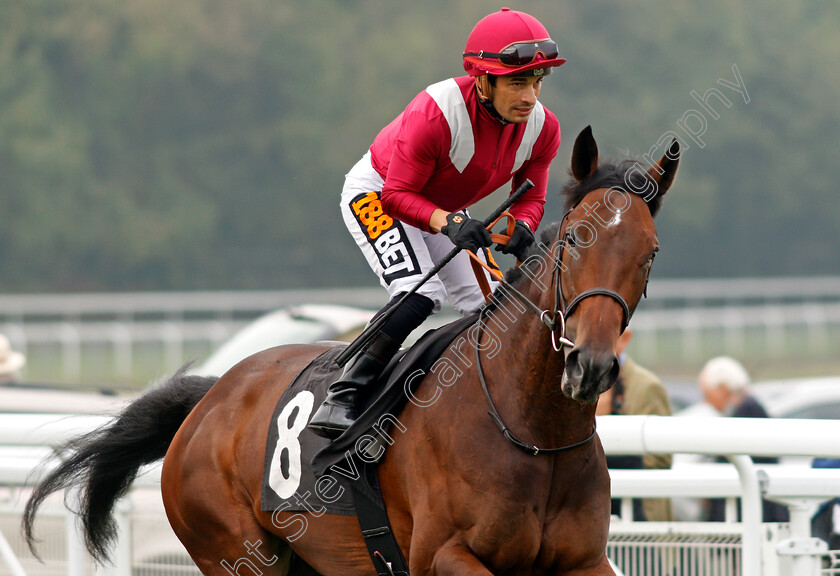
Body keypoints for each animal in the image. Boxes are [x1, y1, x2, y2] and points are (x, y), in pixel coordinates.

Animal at [24, 127, 684, 576]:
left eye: (651, 253)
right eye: (573, 238)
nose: (589, 365)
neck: (532, 429)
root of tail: (211, 397)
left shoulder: (583, 561)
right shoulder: (444, 556)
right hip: (238, 551)